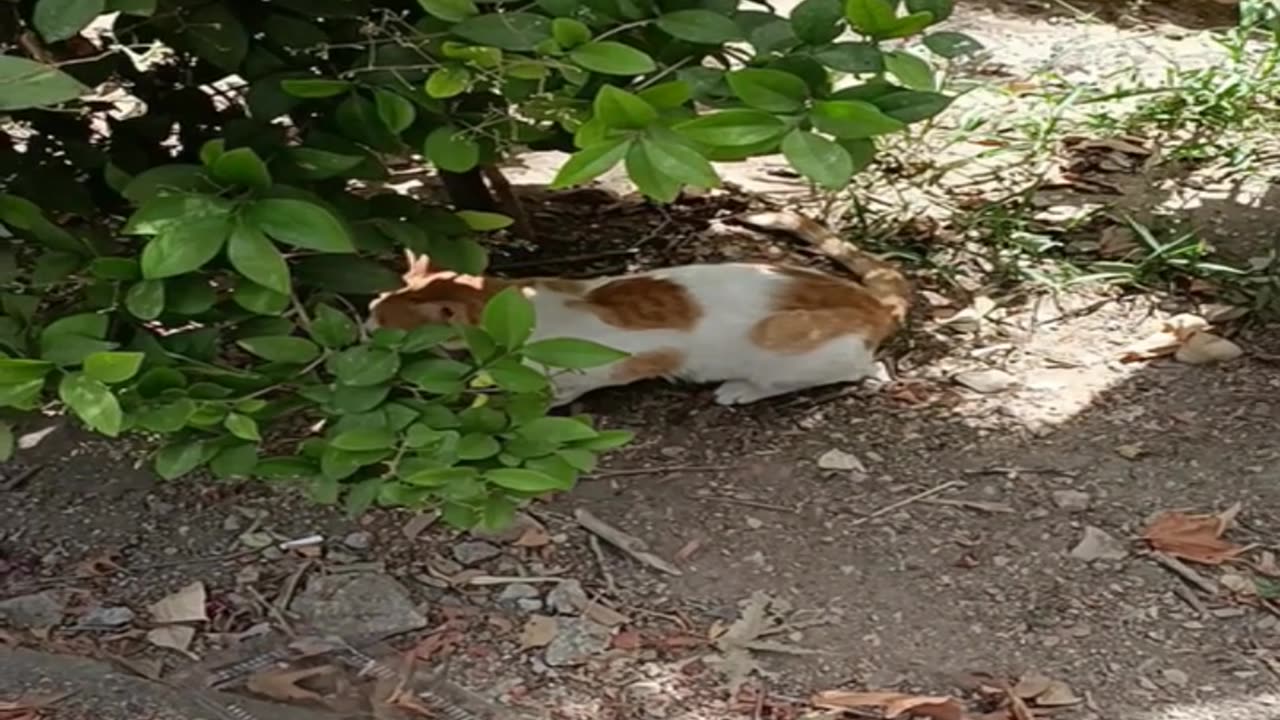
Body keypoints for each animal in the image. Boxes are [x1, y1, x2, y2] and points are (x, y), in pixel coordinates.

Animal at [371, 210, 911, 407]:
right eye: (374, 305)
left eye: (385, 327)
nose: (363, 326)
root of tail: (873, 304)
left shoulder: (611, 363)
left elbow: (562, 389)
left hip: (785, 340)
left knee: (863, 369)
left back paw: (739, 390)